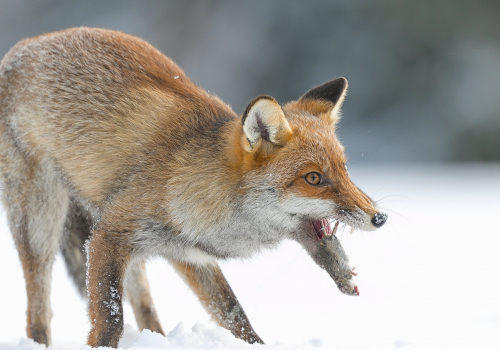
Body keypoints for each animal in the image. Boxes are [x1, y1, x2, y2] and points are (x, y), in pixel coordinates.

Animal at [0, 28, 386, 348]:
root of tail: (23, 46)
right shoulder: (111, 234)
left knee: (144, 306)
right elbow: (110, 319)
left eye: (345, 169)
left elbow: (233, 314)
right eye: (314, 178)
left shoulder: (187, 252)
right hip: (42, 225)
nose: (379, 218)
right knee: (38, 311)